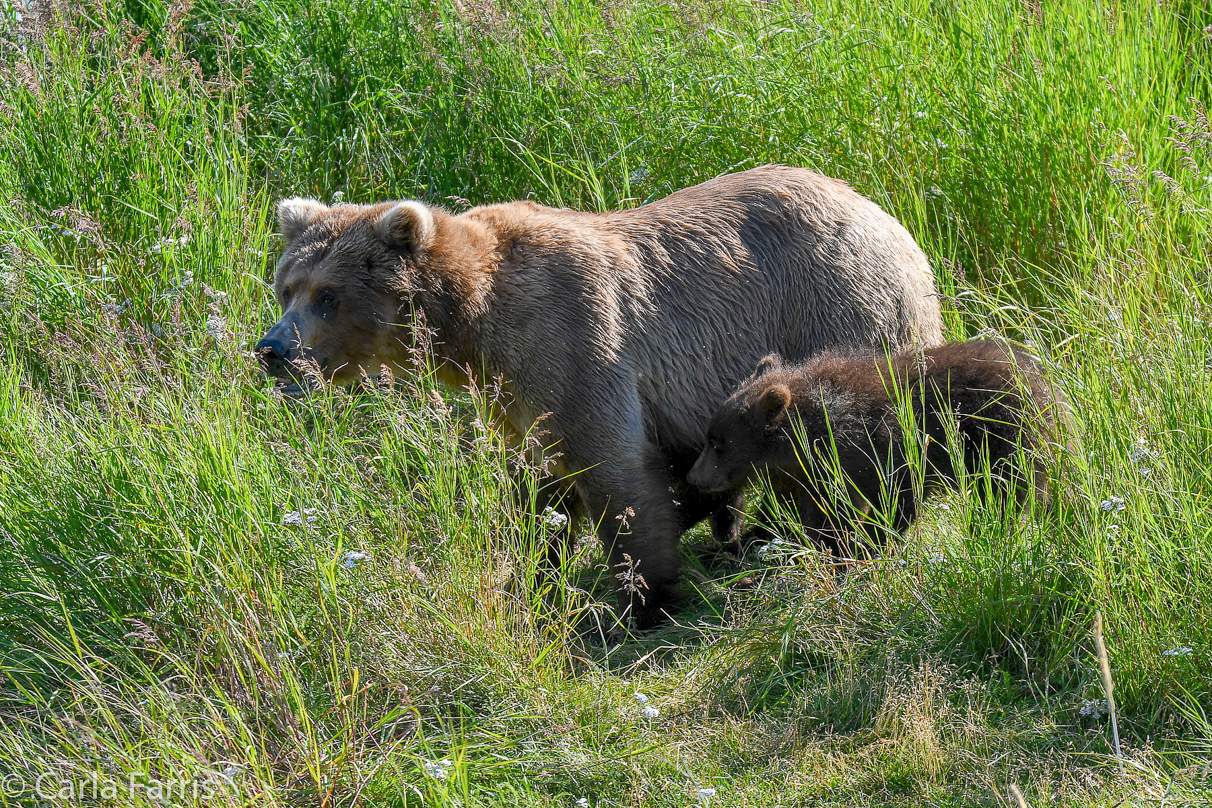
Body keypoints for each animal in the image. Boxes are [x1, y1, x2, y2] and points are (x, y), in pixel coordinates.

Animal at [253, 167, 935, 629]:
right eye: (287, 286)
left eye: (328, 296)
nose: (272, 348)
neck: (475, 323)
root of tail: (892, 222)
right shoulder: (515, 395)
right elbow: (539, 484)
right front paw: (531, 571)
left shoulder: (576, 340)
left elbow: (614, 467)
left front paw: (644, 598)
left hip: (841, 316)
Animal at [688, 339, 1056, 559]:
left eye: (717, 442)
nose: (693, 478)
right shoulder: (807, 473)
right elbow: (812, 510)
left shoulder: (882, 446)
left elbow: (892, 497)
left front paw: (863, 543)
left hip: (1001, 436)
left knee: (1007, 491)